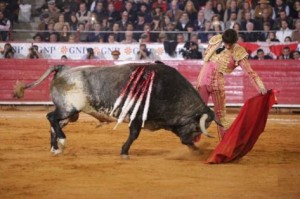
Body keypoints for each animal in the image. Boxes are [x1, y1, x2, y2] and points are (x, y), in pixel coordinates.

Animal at [13, 62, 220, 159]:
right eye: (197, 126)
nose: (191, 139)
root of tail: (64, 69)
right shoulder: (137, 117)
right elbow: (134, 135)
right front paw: (124, 152)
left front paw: (197, 151)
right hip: (68, 109)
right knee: (51, 118)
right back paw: (61, 143)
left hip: (70, 114)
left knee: (54, 123)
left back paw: (55, 148)